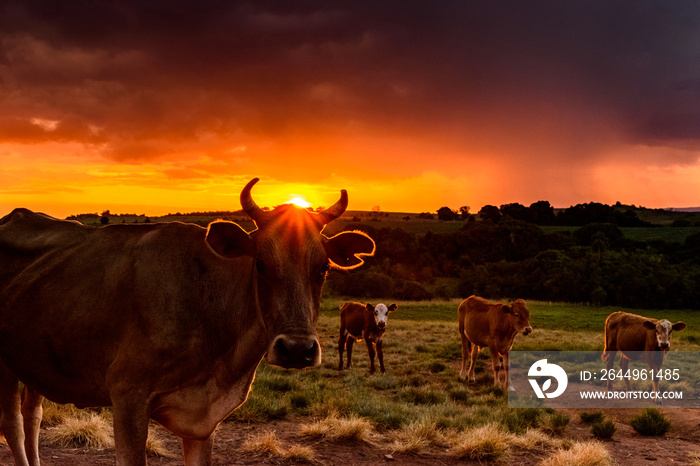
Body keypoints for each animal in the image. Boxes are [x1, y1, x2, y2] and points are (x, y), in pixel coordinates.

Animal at [0, 177, 378, 464]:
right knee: (13, 424)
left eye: (323, 267)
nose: (297, 350)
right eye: (260, 263)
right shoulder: (127, 396)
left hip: (36, 360)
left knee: (32, 416)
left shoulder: (203, 421)